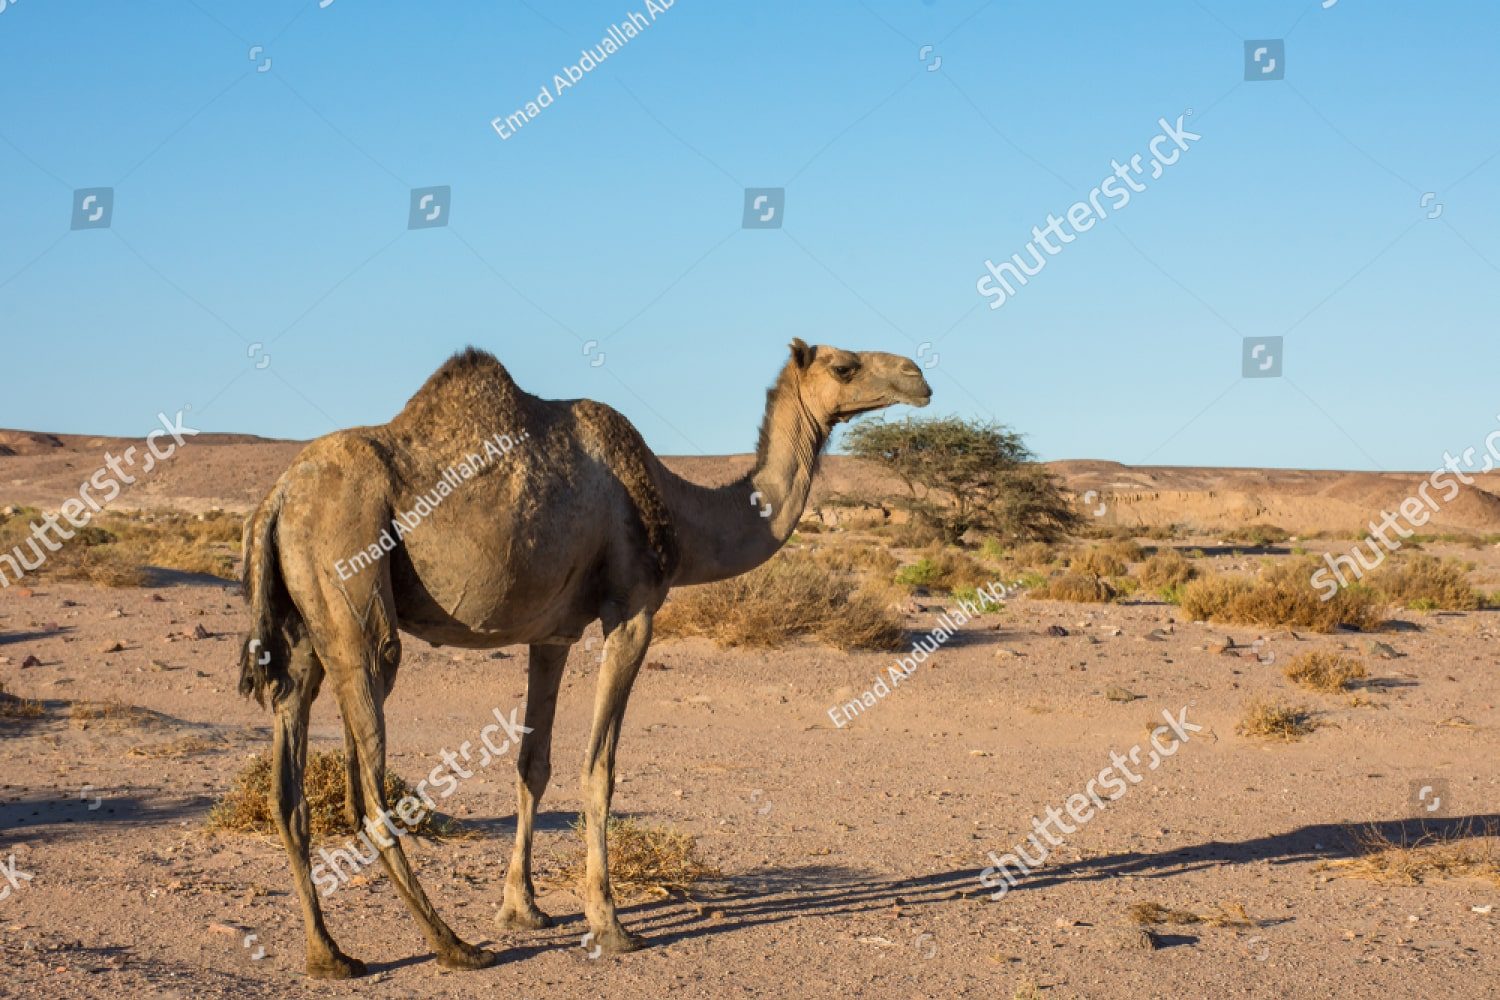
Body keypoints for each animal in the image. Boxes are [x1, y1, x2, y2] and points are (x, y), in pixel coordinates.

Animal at [237, 339, 931, 977]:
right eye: (845, 365)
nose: (919, 375)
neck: (679, 509)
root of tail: (276, 498)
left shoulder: (552, 634)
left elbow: (532, 764)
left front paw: (522, 910)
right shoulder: (634, 611)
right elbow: (600, 769)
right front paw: (610, 923)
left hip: (303, 623)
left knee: (289, 784)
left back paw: (329, 954)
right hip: (352, 585)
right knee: (369, 784)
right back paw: (453, 946)